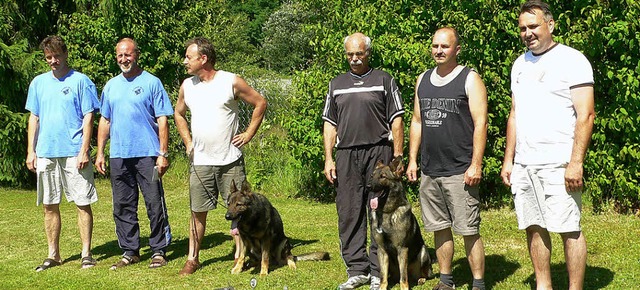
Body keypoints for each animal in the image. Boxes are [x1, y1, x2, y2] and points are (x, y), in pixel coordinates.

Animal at [368, 156, 432, 290]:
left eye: (383, 176)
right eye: (372, 176)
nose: (368, 186)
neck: (387, 212)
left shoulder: (402, 249)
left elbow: (403, 277)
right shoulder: (382, 250)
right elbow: (383, 276)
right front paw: (382, 287)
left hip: (423, 252)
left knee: (424, 273)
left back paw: (421, 278)